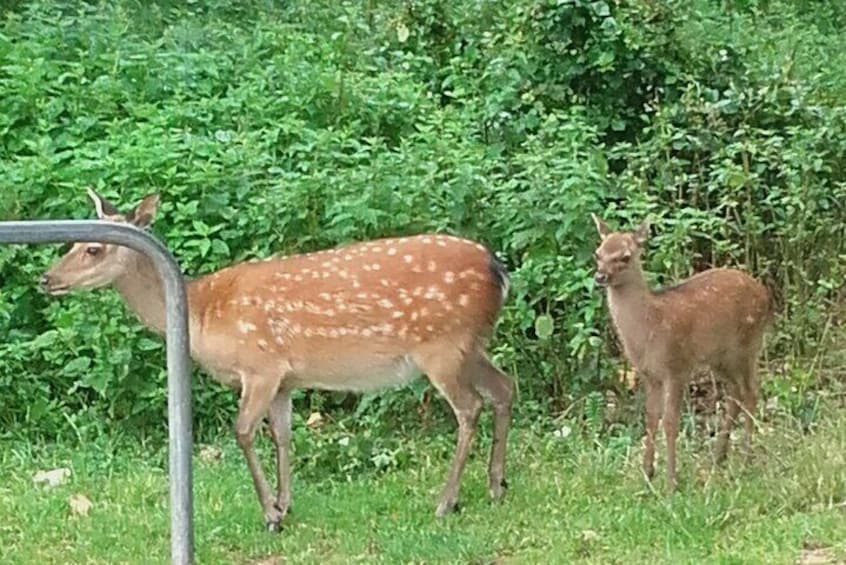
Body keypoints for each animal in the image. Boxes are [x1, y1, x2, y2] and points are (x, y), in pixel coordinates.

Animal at [41, 191, 516, 528]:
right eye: (73, 241)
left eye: (94, 249)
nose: (47, 279)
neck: (201, 315)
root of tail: (497, 269)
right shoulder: (287, 379)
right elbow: (283, 435)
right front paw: (286, 504)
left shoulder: (260, 366)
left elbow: (243, 432)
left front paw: (269, 513)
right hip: (470, 345)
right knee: (504, 387)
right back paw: (495, 486)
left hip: (442, 347)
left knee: (470, 407)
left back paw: (447, 501)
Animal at [592, 215, 772, 490]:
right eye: (598, 254)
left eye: (625, 257)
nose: (600, 276)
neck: (649, 329)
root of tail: (765, 294)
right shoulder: (649, 374)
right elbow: (650, 418)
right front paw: (647, 474)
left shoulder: (677, 366)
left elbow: (670, 421)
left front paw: (671, 482)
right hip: (720, 357)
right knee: (736, 392)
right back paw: (720, 456)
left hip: (747, 345)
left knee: (751, 391)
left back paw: (744, 460)